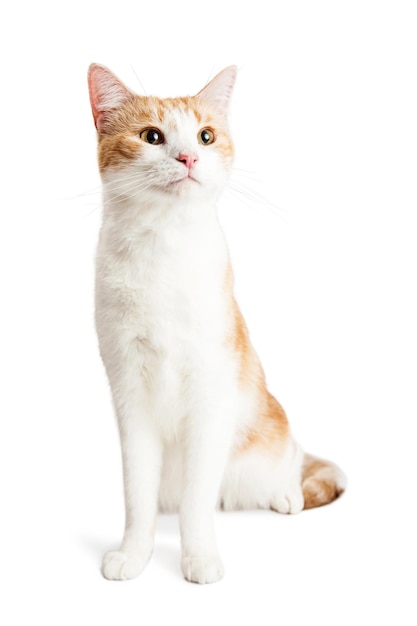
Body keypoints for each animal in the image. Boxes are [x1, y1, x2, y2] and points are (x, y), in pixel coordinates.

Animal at [87, 66, 344, 584]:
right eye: (151, 136)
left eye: (206, 136)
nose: (188, 156)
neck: (162, 250)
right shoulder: (129, 392)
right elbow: (137, 493)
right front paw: (134, 553)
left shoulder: (211, 390)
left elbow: (198, 496)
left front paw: (199, 556)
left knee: (292, 464)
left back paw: (287, 494)